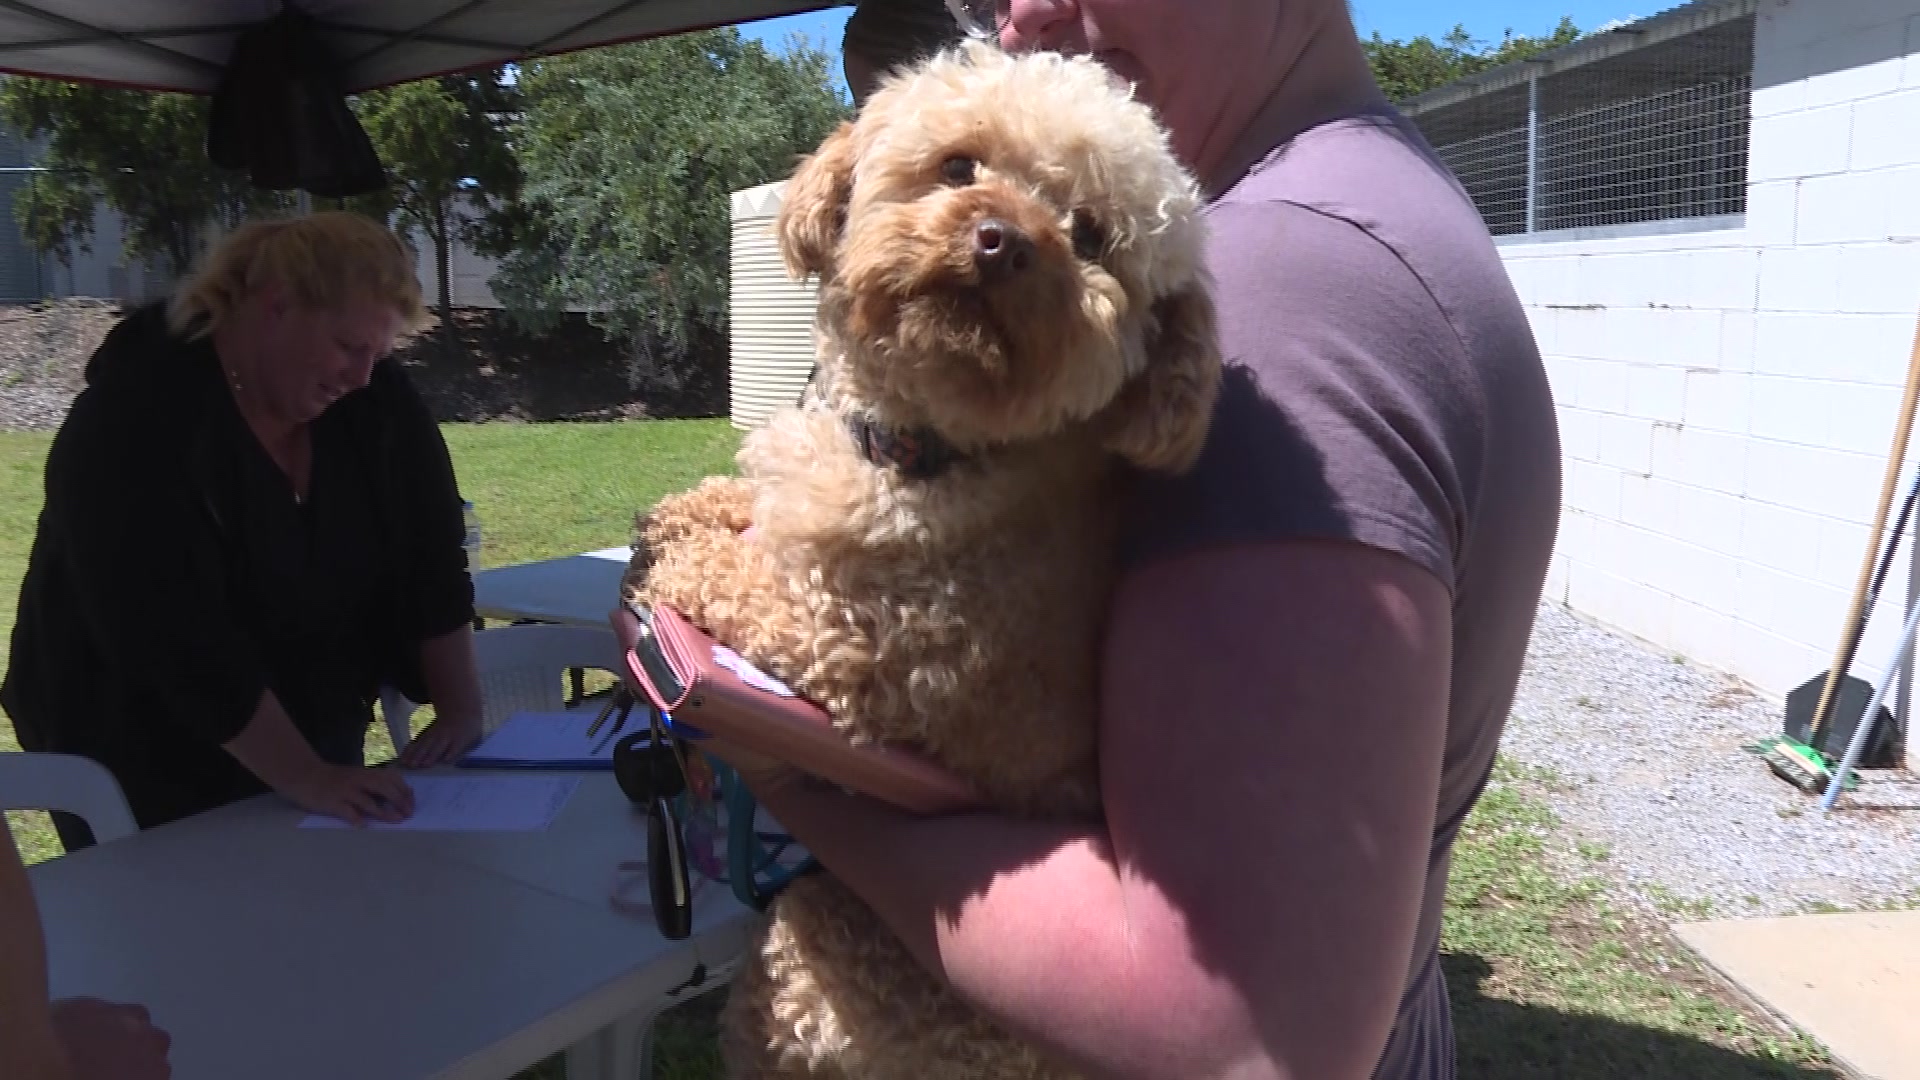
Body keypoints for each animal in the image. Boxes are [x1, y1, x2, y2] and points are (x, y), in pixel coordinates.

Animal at [629, 37, 1228, 1068]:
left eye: (1090, 234)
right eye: (959, 166)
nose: (1004, 240)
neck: (918, 450)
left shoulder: (866, 648)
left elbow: (740, 570)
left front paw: (674, 565)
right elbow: (746, 509)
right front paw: (683, 512)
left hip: (816, 956)